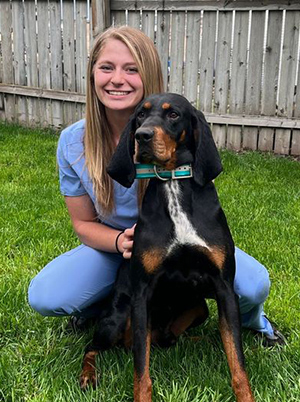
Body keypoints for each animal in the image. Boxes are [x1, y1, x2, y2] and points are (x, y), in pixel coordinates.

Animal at [78, 92, 254, 400]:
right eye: (140, 114)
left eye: (173, 115)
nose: (142, 136)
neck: (173, 184)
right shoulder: (142, 294)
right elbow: (141, 370)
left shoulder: (224, 288)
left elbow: (237, 361)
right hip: (117, 317)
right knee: (97, 347)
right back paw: (89, 374)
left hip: (200, 308)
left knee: (168, 339)